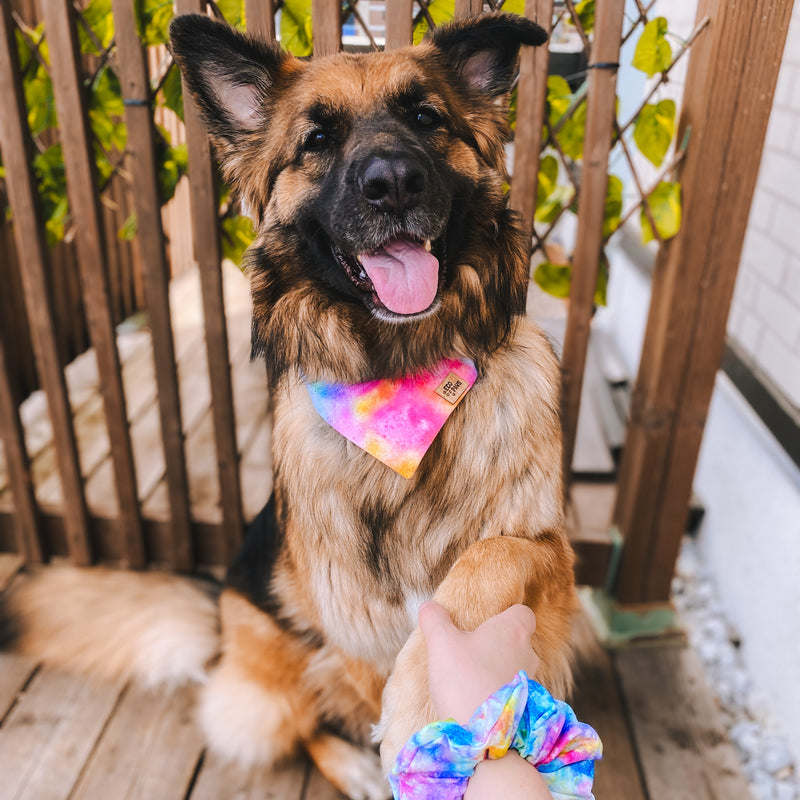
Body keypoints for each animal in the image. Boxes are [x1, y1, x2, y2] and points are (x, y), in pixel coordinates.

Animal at [0, 12, 580, 800]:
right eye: (317, 140)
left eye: (427, 118)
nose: (393, 183)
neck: (399, 376)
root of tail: (219, 615)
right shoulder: (350, 631)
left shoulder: (550, 572)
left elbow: (493, 556)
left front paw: (424, 694)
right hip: (277, 670)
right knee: (301, 721)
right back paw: (352, 765)